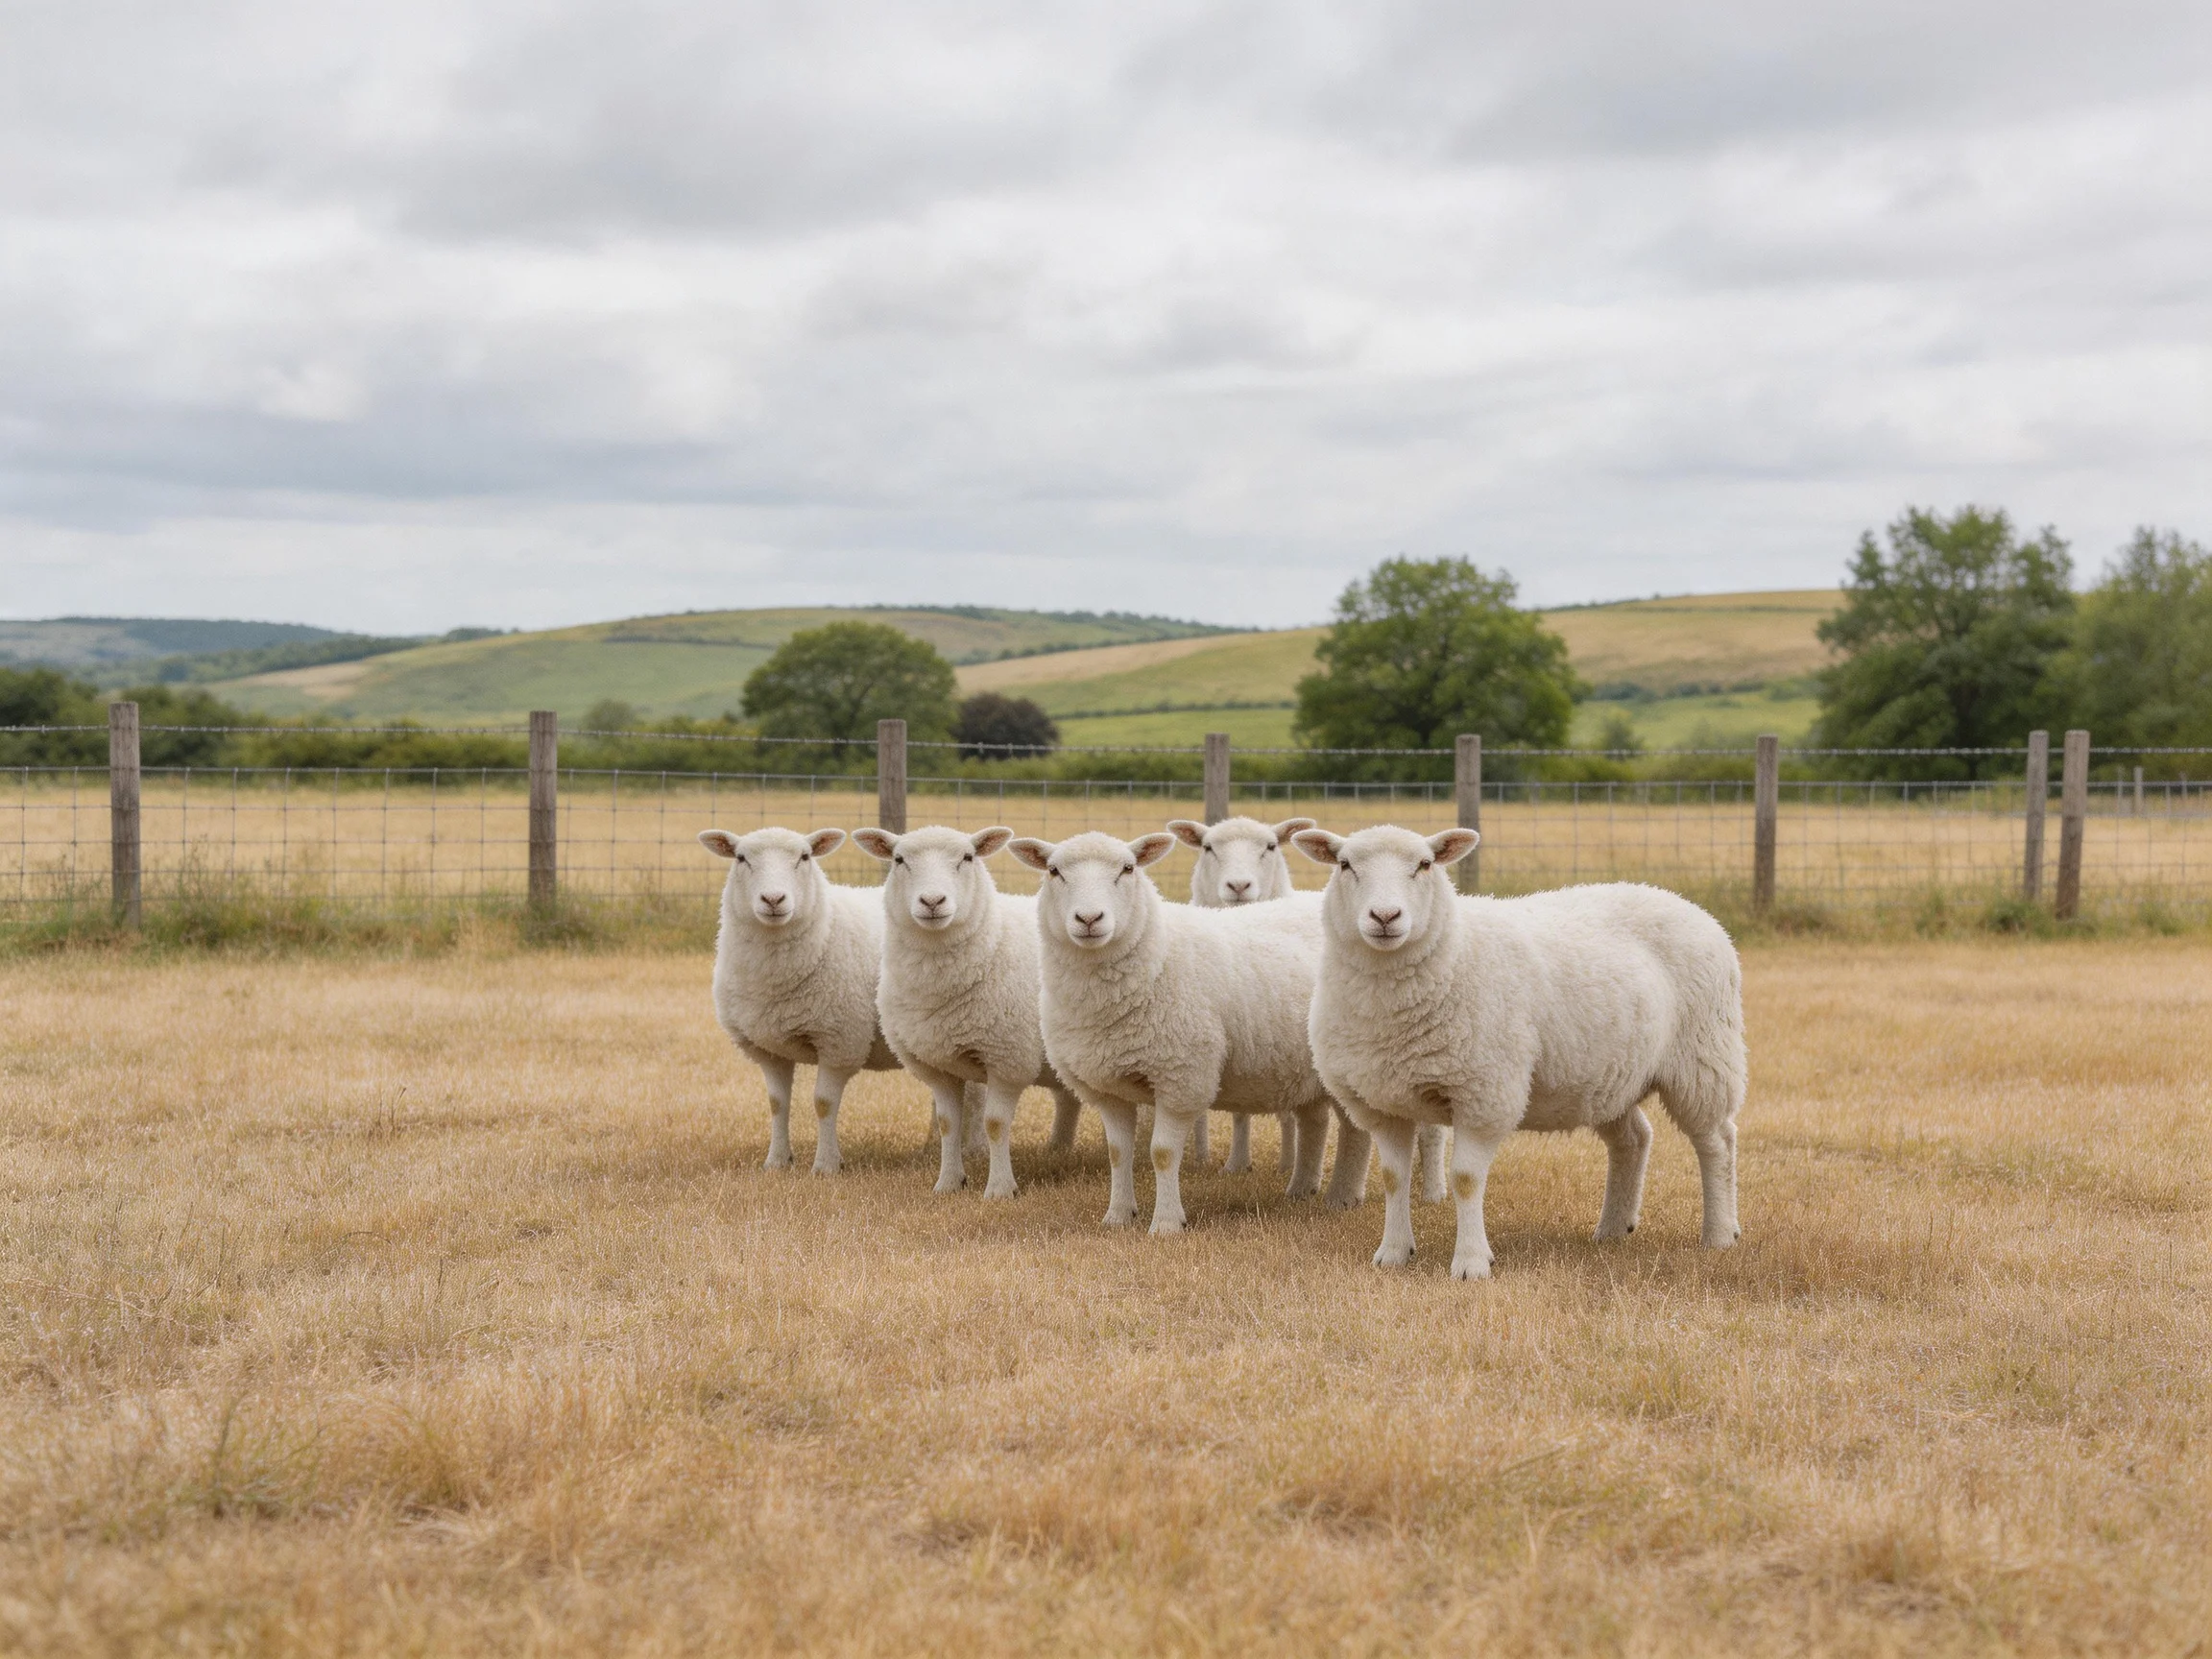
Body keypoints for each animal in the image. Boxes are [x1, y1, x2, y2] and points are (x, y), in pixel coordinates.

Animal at [697, 826, 901, 1174]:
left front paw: (826, 1166)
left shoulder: (840, 1040)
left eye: (804, 857)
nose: (773, 900)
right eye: (741, 858)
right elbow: (777, 1104)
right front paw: (777, 1161)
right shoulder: (768, 1048)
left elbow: (823, 1103)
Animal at [851, 824, 1084, 1198]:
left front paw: (1000, 1189)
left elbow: (995, 1123)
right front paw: (948, 1183)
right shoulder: (937, 1065)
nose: (933, 902)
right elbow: (948, 1124)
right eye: (899, 860)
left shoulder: (1007, 1058)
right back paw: (1058, 1150)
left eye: (967, 857)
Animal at [1007, 830, 1370, 1234]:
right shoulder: (1106, 1086)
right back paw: (1302, 1190)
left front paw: (1166, 1223)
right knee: (1314, 1121)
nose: (1089, 918)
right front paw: (1117, 1217)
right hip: (1303, 1067)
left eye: (1128, 869)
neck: (1156, 952)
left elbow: (1163, 1153)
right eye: (1054, 871)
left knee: (1354, 1130)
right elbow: (1118, 1153)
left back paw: (1343, 1196)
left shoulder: (1181, 1076)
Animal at [1292, 824, 1746, 1280]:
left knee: (1716, 1142)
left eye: (1424, 864)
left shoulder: (1484, 1094)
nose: (1385, 917)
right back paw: (1614, 1229)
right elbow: (1392, 1177)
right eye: (1345, 865)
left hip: (1704, 1059)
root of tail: (1684, 903)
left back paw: (1720, 1234)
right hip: (1609, 1076)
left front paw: (1471, 1263)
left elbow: (1465, 1179)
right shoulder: (1380, 1103)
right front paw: (1393, 1252)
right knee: (1634, 1139)